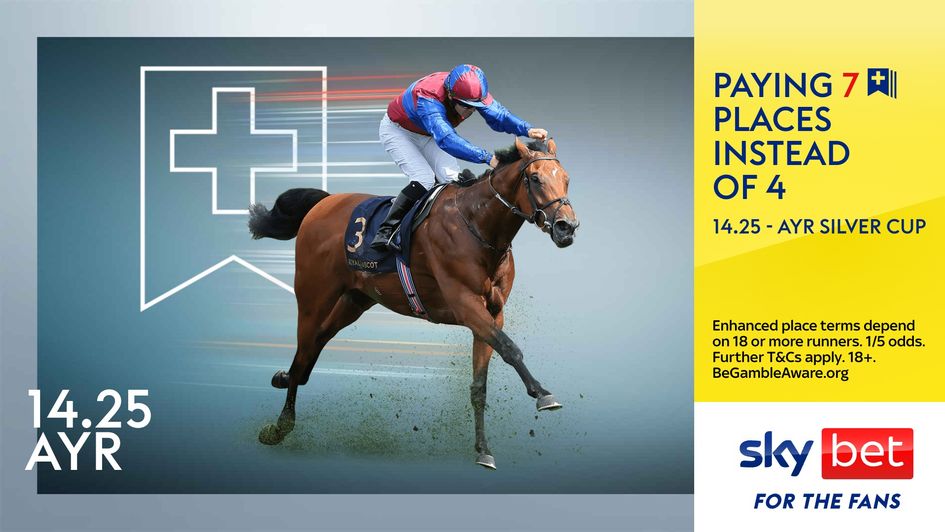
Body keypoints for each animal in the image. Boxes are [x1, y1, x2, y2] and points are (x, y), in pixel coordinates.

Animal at [247, 137, 578, 469]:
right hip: (313, 295)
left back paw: (285, 378)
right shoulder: (466, 305)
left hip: (353, 300)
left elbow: (479, 386)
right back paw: (281, 425)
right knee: (304, 348)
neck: (477, 225)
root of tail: (324, 203)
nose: (567, 226)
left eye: (566, 179)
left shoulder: (492, 314)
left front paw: (483, 449)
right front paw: (543, 394)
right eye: (535, 178)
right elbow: (510, 349)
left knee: (316, 341)